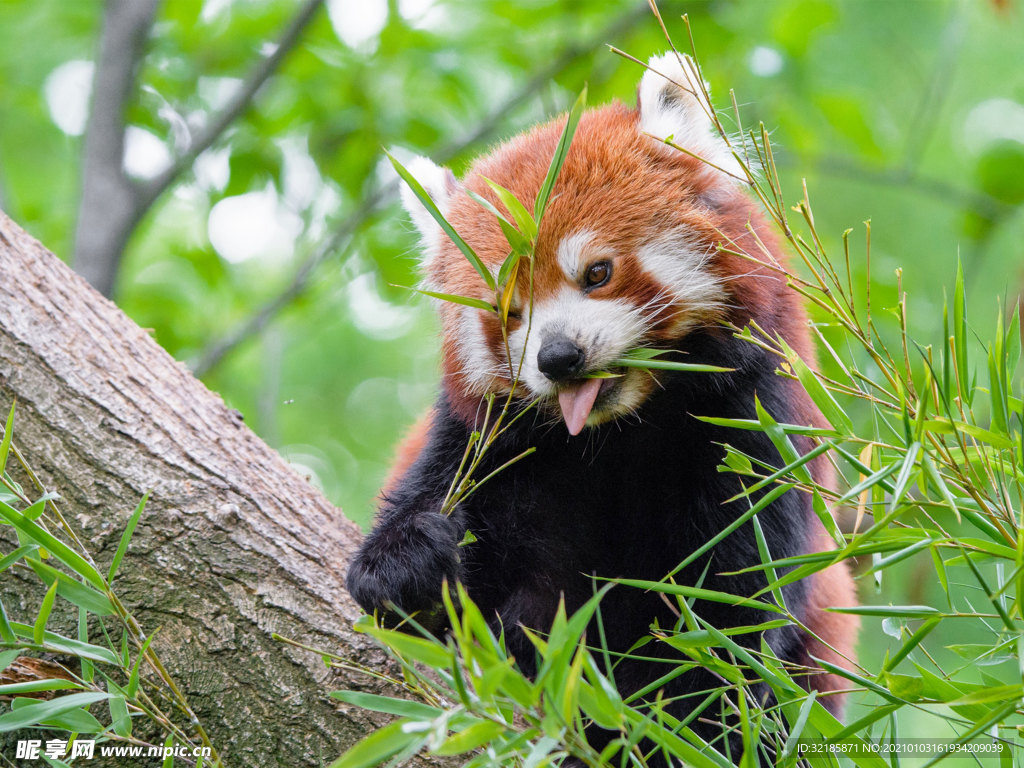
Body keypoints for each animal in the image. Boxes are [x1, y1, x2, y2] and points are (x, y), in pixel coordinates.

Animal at [348, 52, 860, 757]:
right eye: (508, 311)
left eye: (596, 273)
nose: (558, 357)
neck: (618, 432)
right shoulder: (491, 447)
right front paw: (407, 564)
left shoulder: (752, 429)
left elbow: (730, 618)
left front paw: (684, 731)